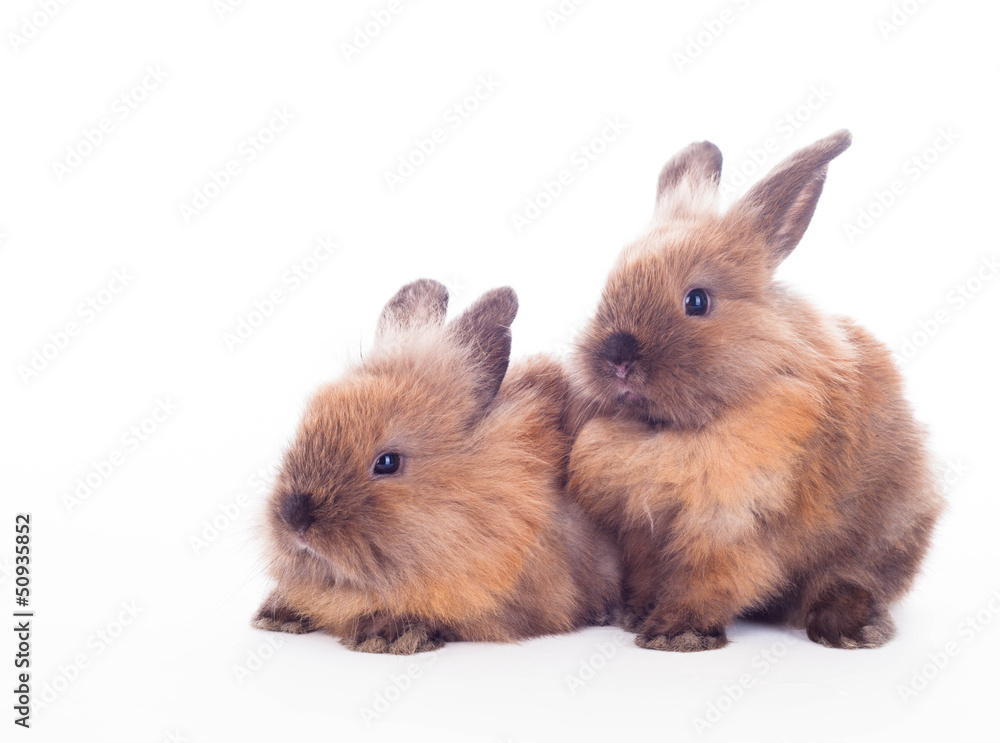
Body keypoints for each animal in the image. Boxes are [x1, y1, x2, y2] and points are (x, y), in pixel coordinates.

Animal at [568, 132, 940, 652]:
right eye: (607, 290)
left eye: (697, 301)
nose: (618, 358)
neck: (667, 434)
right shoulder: (641, 532)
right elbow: (647, 577)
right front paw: (636, 615)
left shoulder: (730, 525)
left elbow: (710, 581)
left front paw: (673, 634)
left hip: (885, 531)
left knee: (853, 581)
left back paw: (849, 630)